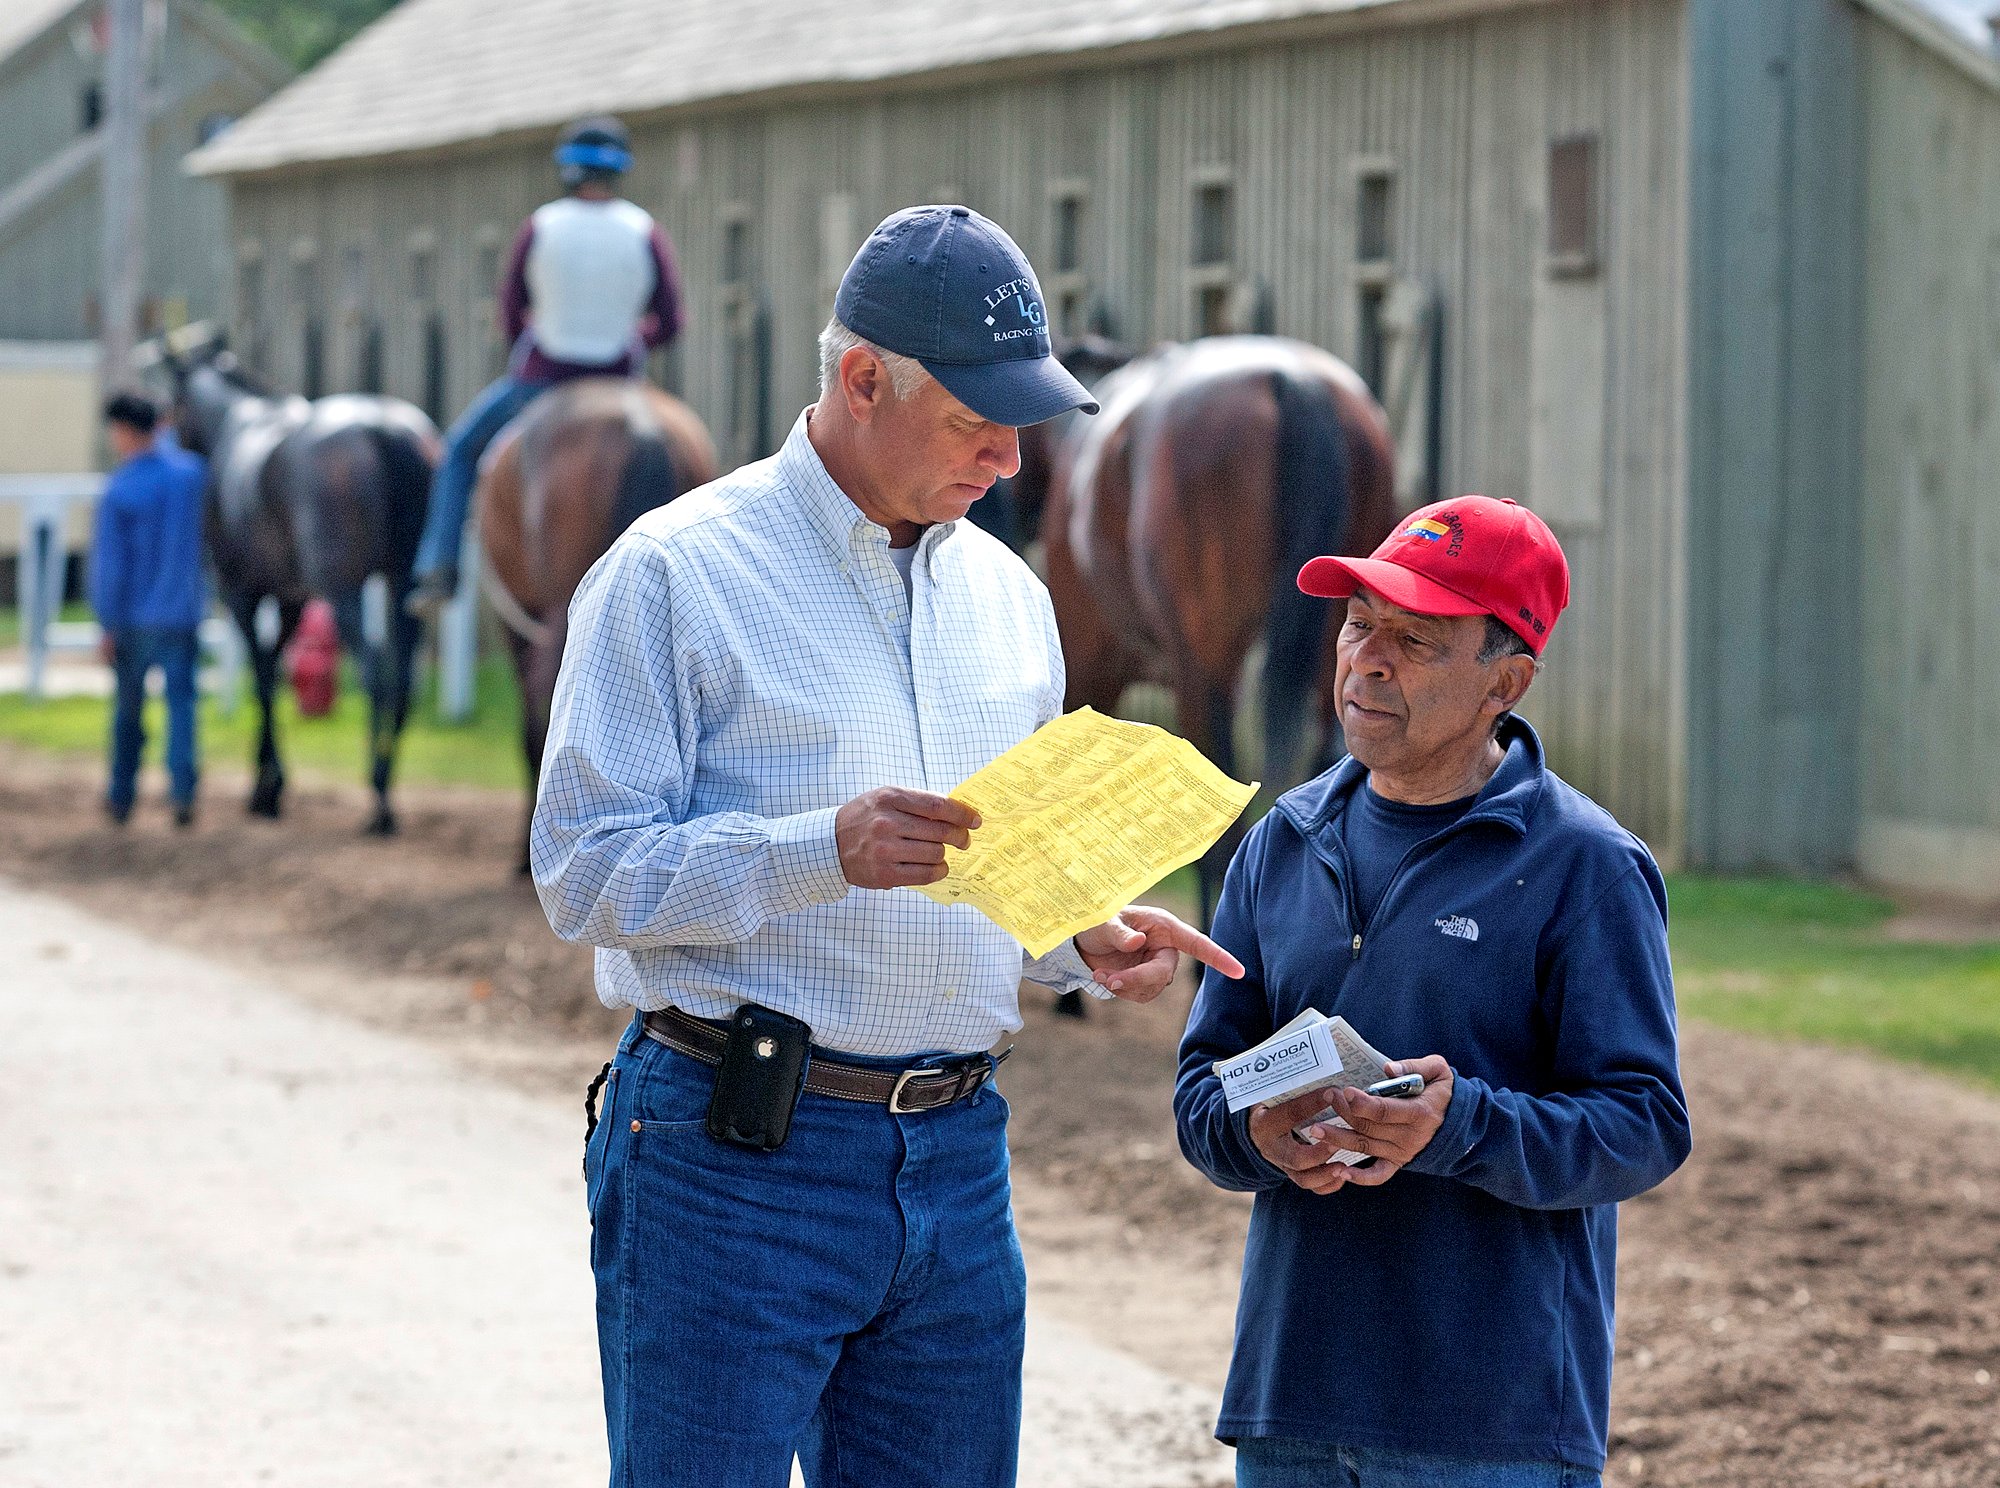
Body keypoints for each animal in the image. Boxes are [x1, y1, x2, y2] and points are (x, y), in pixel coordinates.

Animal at [167, 330, 442, 832]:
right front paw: (268, 784)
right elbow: (273, 671)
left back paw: (378, 796)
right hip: (404, 583)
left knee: (375, 672)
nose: (176, 442)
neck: (239, 423)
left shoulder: (240, 593)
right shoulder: (291, 599)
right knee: (403, 679)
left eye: (173, 404)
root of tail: (385, 432)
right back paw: (386, 788)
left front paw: (267, 789)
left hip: (343, 589)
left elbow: (261, 675)